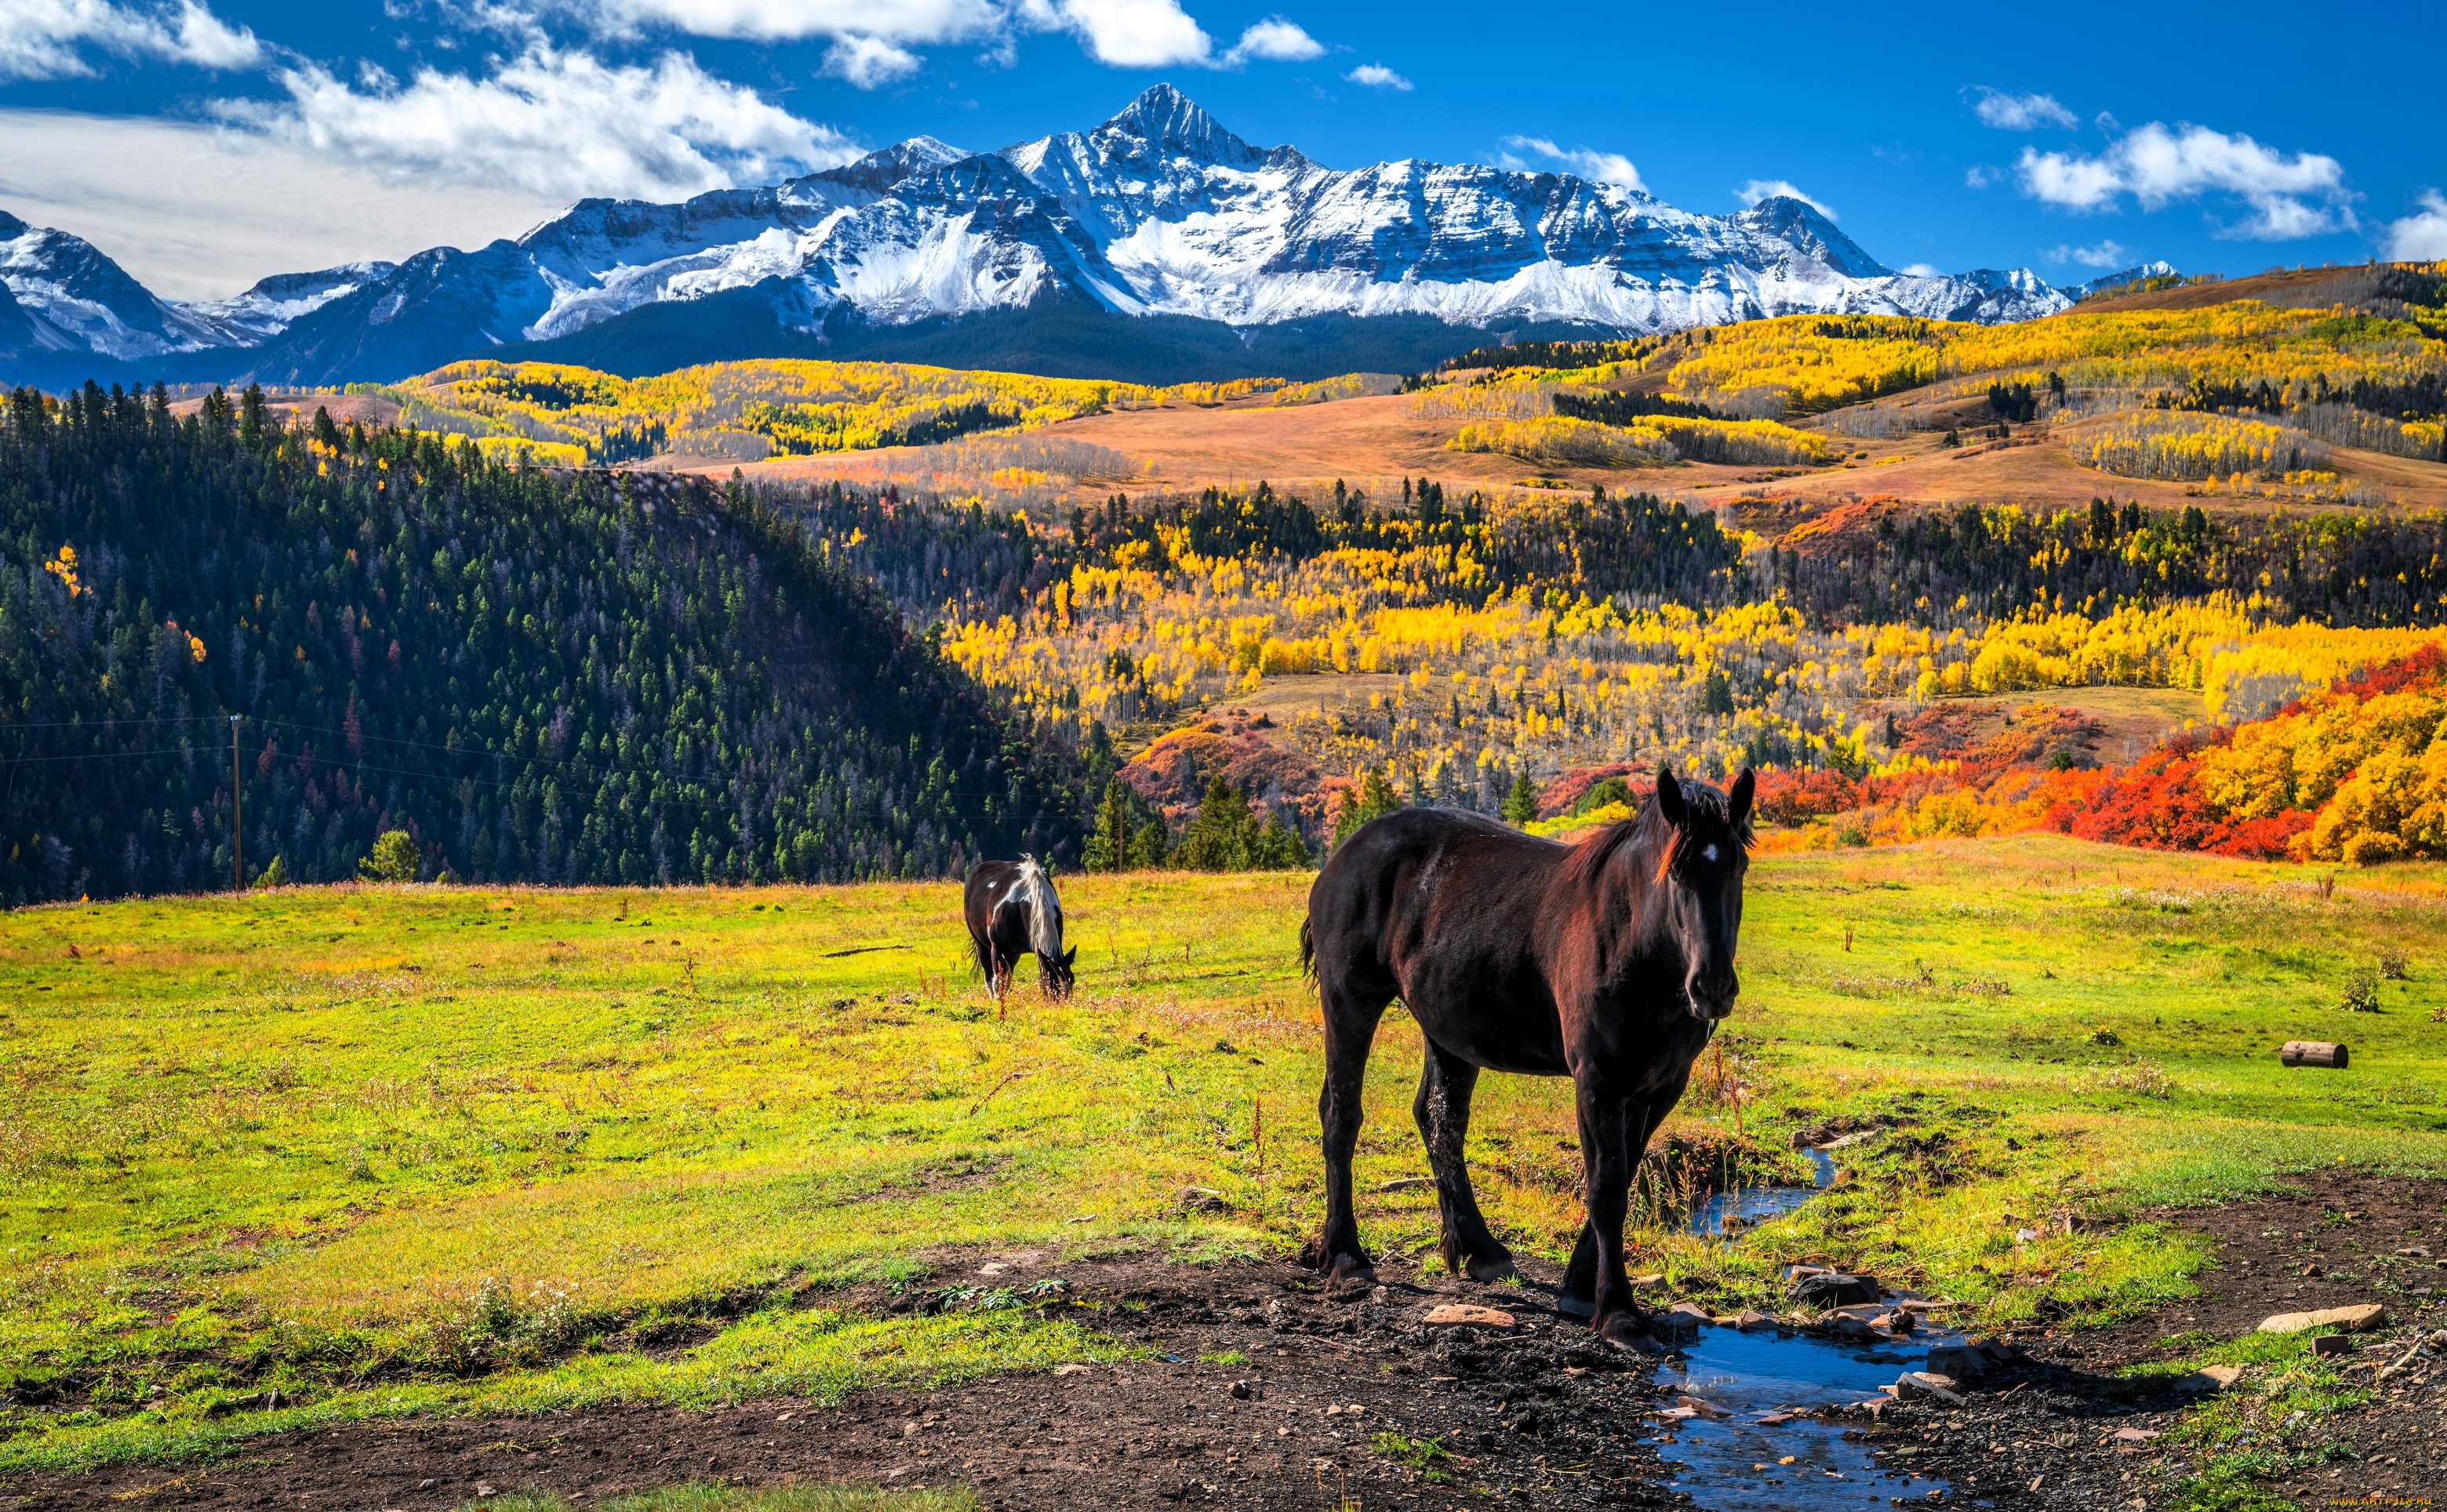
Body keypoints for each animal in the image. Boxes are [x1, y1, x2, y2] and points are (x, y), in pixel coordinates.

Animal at [959, 851, 1076, 993]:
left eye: (1072, 980)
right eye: (1051, 984)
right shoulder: (998, 949)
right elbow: (997, 984)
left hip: (1013, 955)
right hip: (981, 945)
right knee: (989, 978)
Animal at [1301, 763, 1742, 1340]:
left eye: (1739, 866)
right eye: (1675, 872)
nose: (1712, 987)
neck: (1634, 942)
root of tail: (1344, 855)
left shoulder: (1661, 1086)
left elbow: (1624, 1175)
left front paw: (1580, 1288)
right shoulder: (1598, 1081)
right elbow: (1606, 1188)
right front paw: (1618, 1311)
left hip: (1448, 1029)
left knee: (1439, 1121)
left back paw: (1478, 1250)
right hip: (1350, 1002)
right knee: (1341, 1114)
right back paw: (1347, 1258)